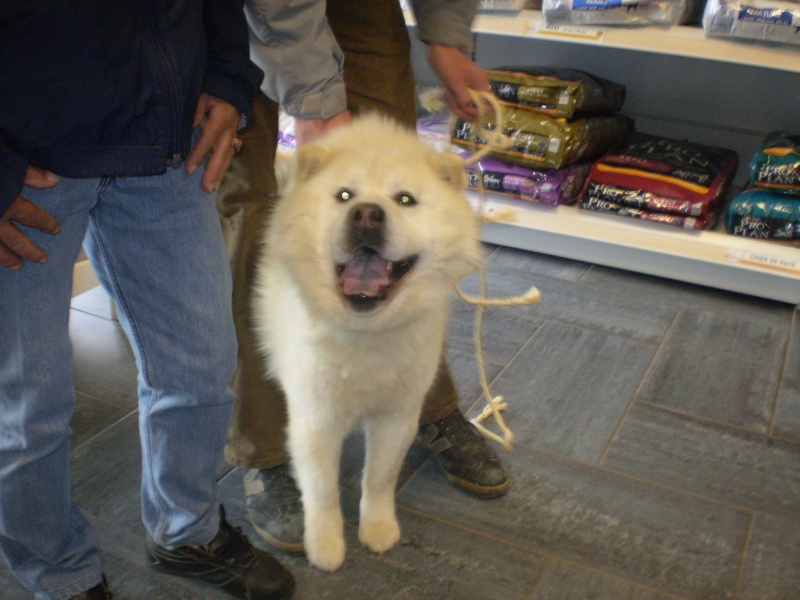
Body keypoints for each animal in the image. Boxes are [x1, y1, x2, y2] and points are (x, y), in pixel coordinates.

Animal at [253, 113, 482, 572]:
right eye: (344, 195)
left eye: (405, 199)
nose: (367, 215)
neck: (367, 334)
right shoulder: (316, 418)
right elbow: (321, 490)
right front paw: (325, 546)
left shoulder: (398, 414)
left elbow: (379, 477)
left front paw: (377, 530)